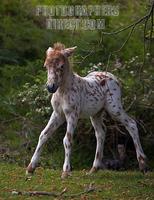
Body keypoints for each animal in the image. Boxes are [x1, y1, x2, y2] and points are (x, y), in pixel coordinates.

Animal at [26, 42, 147, 178]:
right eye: (46, 65)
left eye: (61, 66)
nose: (50, 87)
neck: (63, 91)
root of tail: (114, 78)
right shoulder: (58, 114)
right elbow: (44, 135)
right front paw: (30, 168)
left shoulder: (72, 114)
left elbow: (67, 140)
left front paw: (66, 171)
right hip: (96, 114)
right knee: (101, 132)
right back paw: (93, 169)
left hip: (114, 108)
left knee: (131, 124)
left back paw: (143, 165)